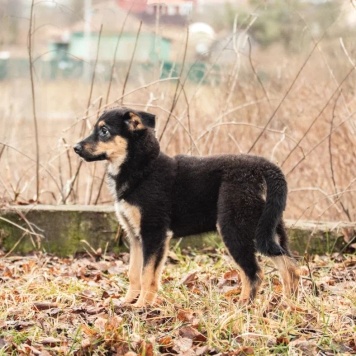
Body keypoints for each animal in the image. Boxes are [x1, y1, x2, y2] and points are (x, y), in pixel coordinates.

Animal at [74, 107, 300, 308]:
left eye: (104, 131)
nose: (76, 148)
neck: (143, 167)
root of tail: (264, 168)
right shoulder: (136, 235)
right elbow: (135, 273)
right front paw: (128, 302)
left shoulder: (153, 232)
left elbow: (147, 274)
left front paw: (141, 306)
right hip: (267, 228)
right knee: (290, 267)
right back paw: (288, 305)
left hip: (235, 227)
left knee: (254, 273)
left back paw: (244, 305)